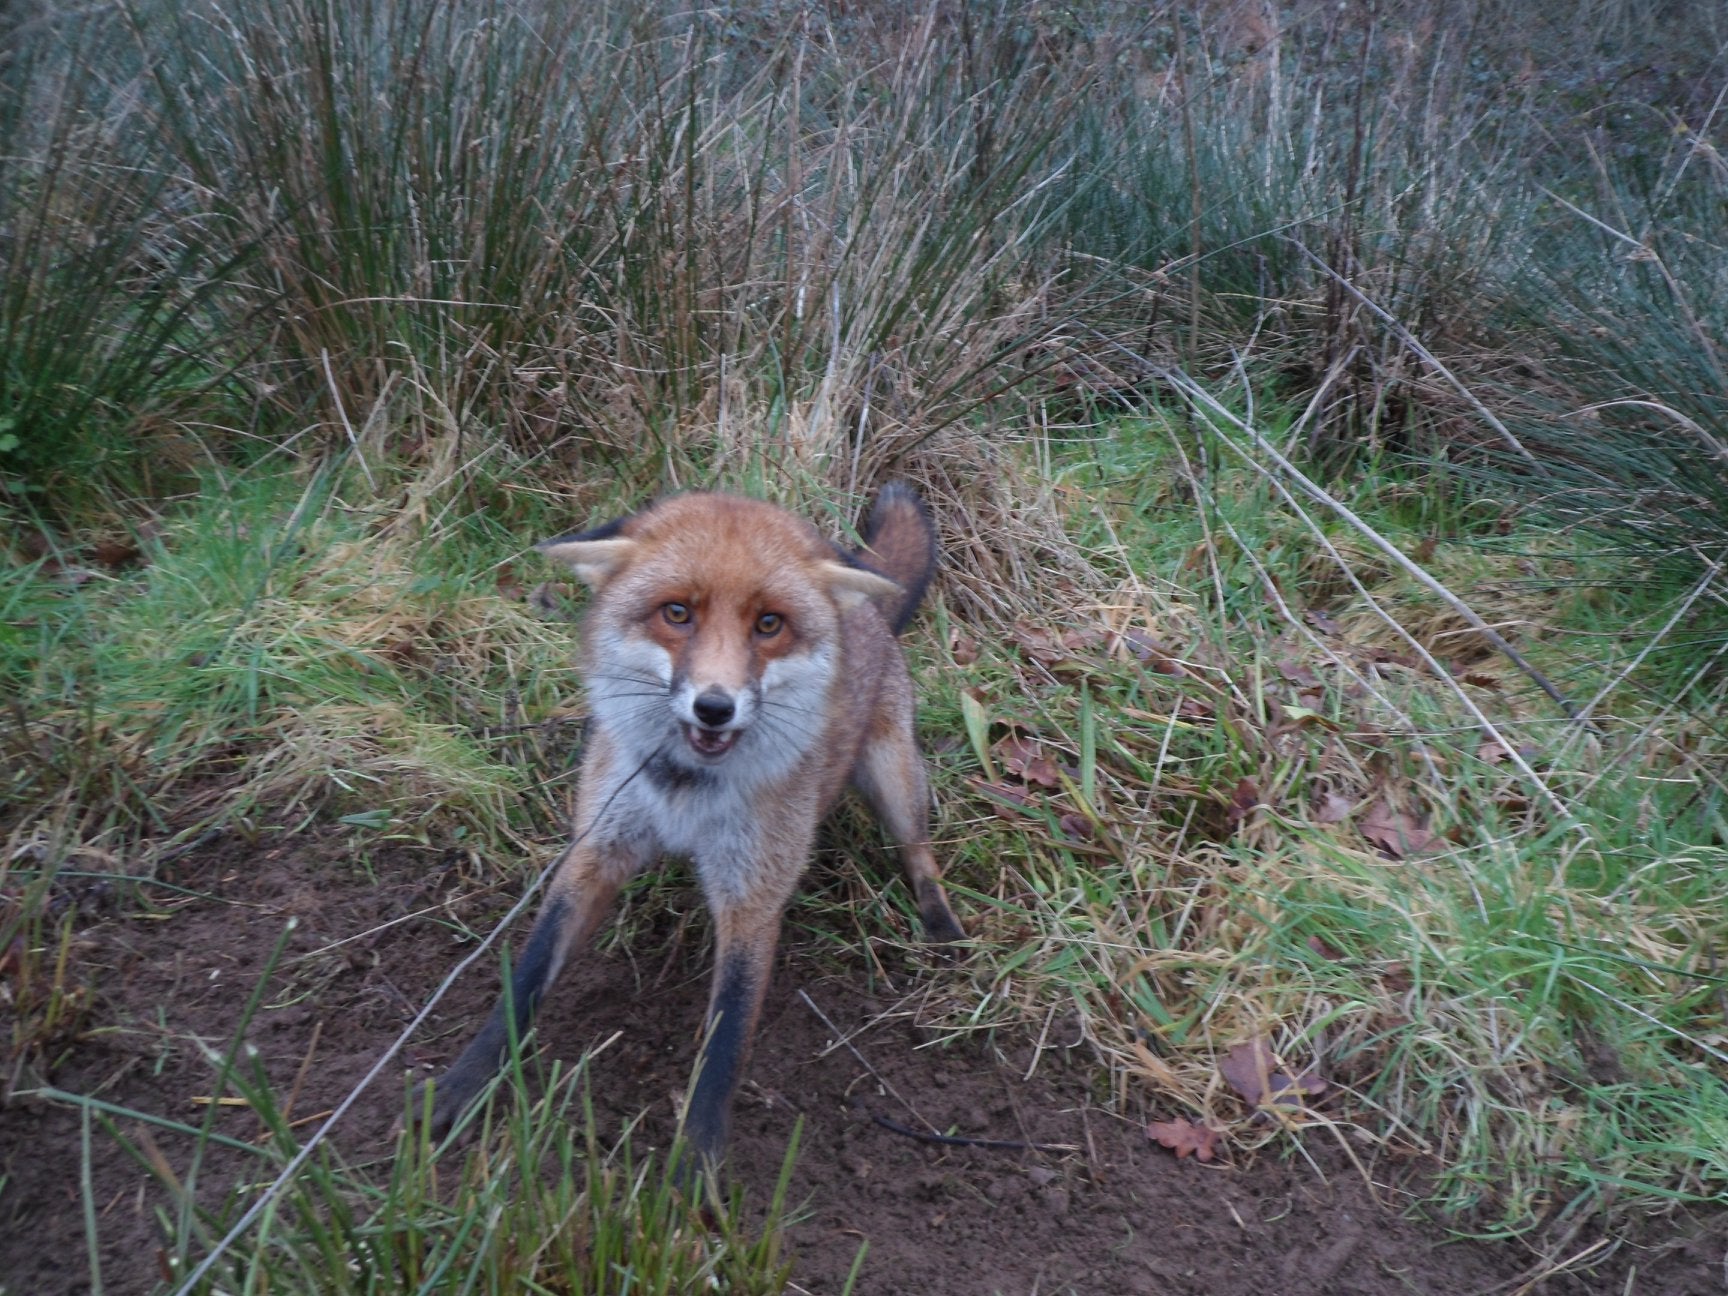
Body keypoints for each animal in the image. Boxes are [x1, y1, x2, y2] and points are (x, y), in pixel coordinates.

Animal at [416, 487, 960, 1175]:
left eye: (769, 624)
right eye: (676, 613)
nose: (715, 707)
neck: (686, 790)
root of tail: (867, 621)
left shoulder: (752, 894)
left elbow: (724, 1043)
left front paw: (694, 1172)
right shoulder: (596, 849)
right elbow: (524, 982)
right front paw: (461, 1086)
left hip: (894, 782)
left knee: (920, 852)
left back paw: (941, 922)